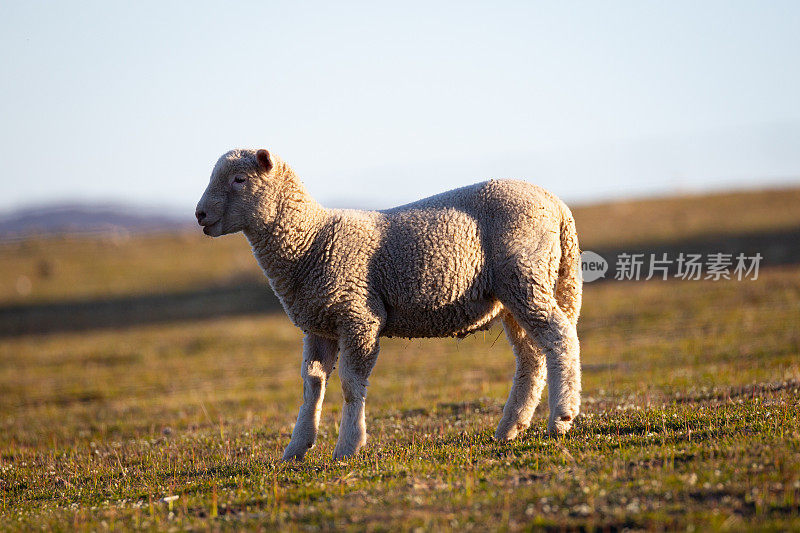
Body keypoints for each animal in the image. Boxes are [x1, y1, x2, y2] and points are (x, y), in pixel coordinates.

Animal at [194, 148, 580, 460]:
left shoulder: (358, 315)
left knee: (560, 338)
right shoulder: (319, 327)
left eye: (239, 179)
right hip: (513, 295)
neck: (311, 241)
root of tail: (558, 206)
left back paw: (561, 417)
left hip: (524, 274)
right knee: (532, 358)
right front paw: (296, 448)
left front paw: (348, 446)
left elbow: (351, 385)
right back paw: (511, 427)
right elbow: (311, 386)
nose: (199, 215)